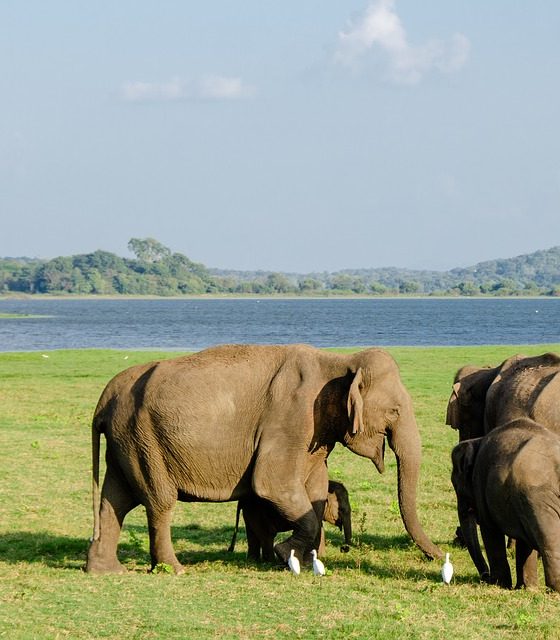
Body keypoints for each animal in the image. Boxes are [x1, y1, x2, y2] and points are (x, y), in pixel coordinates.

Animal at [85, 342, 442, 572]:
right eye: (395, 411)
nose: (439, 556)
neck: (338, 362)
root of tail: (104, 400)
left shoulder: (315, 434)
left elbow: (314, 487)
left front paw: (306, 561)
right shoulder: (291, 419)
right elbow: (271, 483)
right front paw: (286, 555)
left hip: (126, 441)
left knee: (115, 499)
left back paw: (105, 570)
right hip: (143, 440)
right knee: (158, 501)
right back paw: (174, 569)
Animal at [452, 418, 560, 592]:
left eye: (456, 486)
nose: (485, 577)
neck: (477, 441)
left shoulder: (480, 483)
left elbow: (490, 531)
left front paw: (499, 584)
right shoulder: (522, 505)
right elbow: (524, 543)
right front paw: (526, 588)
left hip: (538, 499)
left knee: (549, 539)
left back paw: (555, 588)